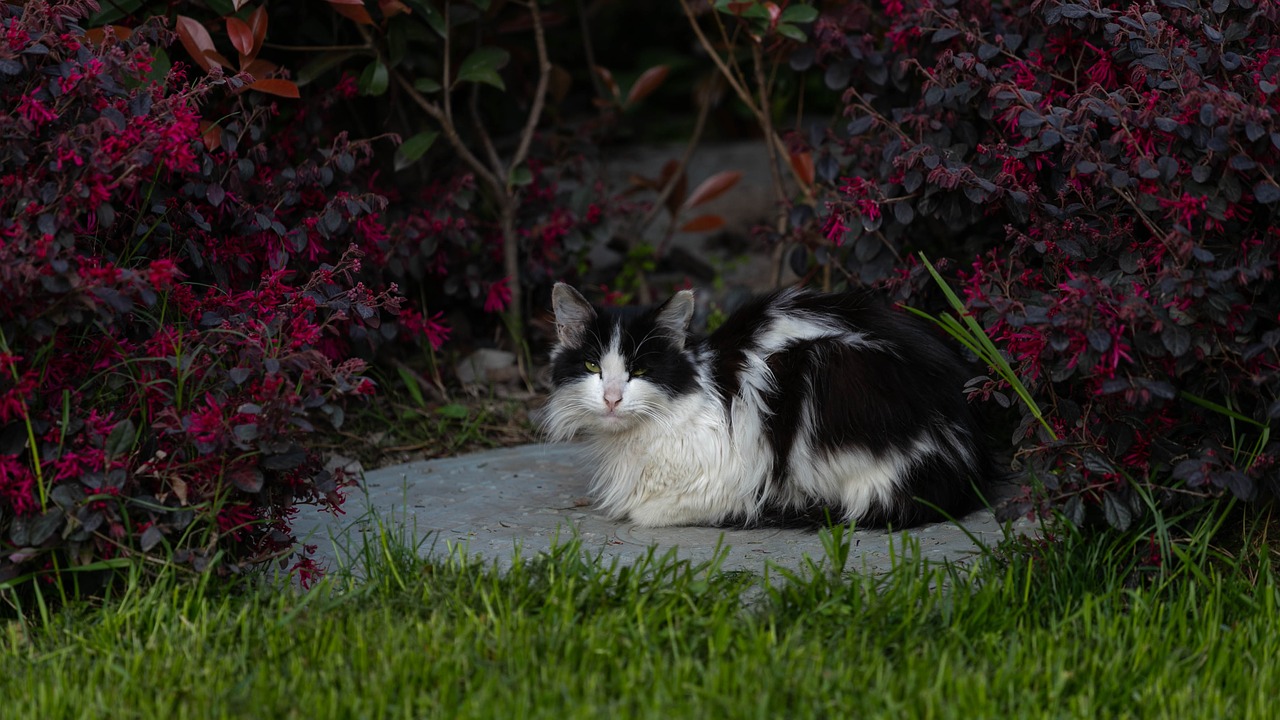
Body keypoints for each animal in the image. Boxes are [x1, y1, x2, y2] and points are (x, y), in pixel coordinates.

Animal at [537, 281, 988, 527]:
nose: (612, 397)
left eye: (640, 370)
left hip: (819, 365)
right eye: (593, 366)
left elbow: (649, 511)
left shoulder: (732, 475)